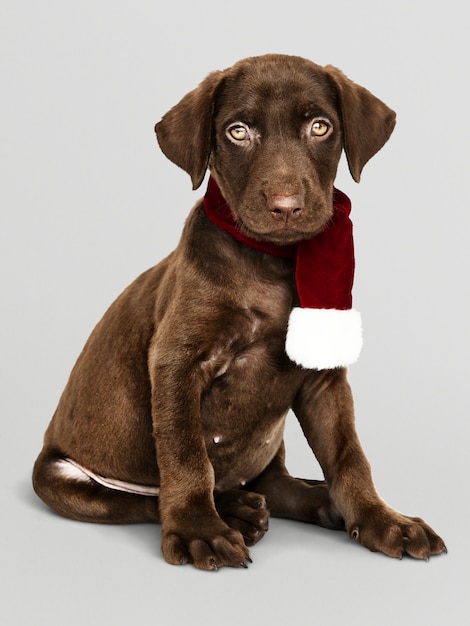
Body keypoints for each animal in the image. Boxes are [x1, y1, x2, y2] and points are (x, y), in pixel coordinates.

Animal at [32, 56, 444, 568]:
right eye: (238, 131)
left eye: (320, 126)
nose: (286, 207)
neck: (272, 263)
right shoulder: (176, 362)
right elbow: (187, 457)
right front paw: (199, 529)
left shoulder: (324, 379)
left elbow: (349, 455)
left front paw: (381, 518)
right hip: (59, 479)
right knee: (145, 498)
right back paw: (235, 511)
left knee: (275, 482)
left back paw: (316, 500)